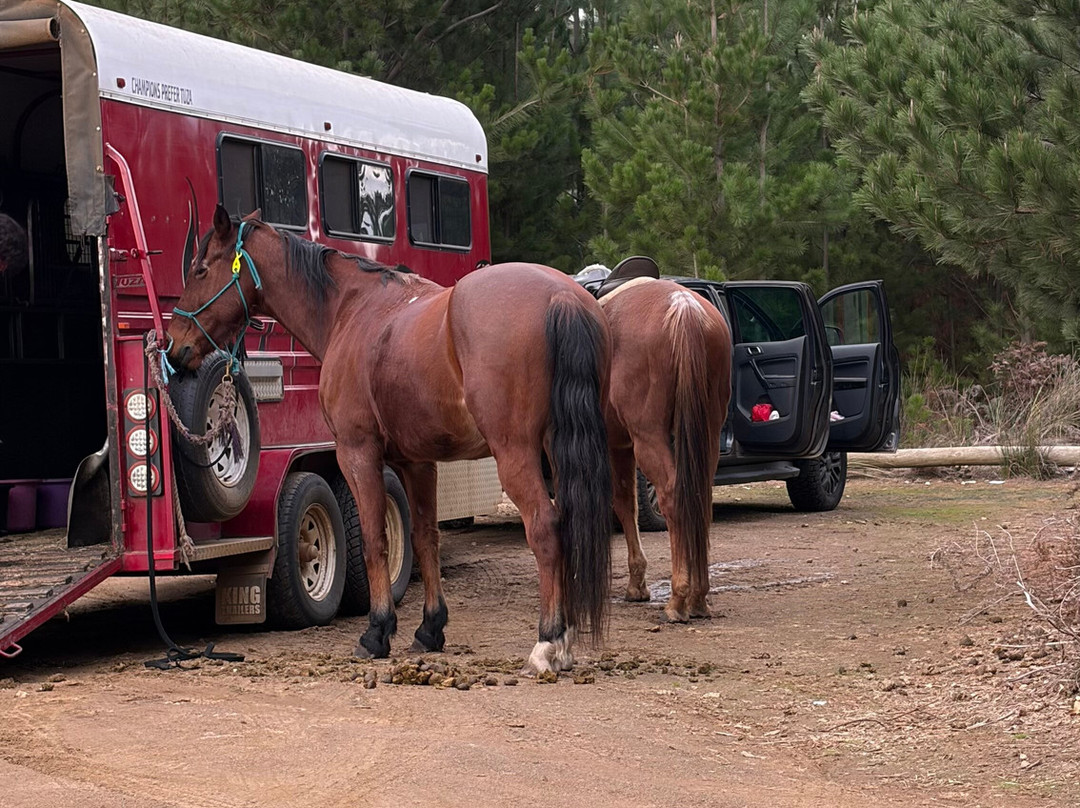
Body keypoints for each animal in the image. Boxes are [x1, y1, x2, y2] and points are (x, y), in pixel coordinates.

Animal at [166, 206, 613, 674]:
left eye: (200, 270)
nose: (174, 346)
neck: (351, 309)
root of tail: (561, 297)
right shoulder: (417, 462)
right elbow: (424, 537)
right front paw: (430, 629)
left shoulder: (357, 453)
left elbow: (374, 540)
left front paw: (377, 631)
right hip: (559, 452)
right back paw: (563, 639)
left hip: (516, 454)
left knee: (545, 528)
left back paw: (548, 643)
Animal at [593, 261, 732, 622]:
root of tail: (685, 309)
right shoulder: (619, 448)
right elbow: (625, 503)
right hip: (707, 435)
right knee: (700, 498)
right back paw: (698, 597)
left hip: (650, 438)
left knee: (674, 497)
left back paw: (678, 600)